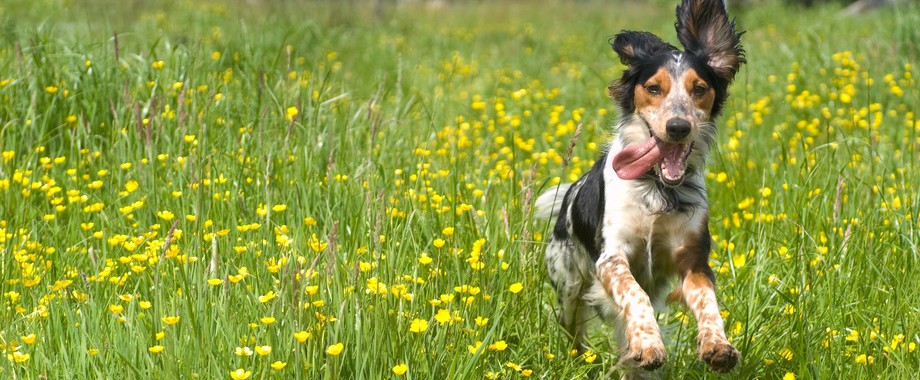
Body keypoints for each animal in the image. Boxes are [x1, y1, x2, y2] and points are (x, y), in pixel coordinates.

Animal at [536, 0, 744, 376]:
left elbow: (707, 301)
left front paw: (717, 346)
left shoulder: (693, 260)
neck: (656, 189)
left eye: (699, 88)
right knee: (574, 327)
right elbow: (635, 294)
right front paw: (648, 346)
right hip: (568, 283)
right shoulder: (611, 258)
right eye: (653, 88)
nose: (678, 127)